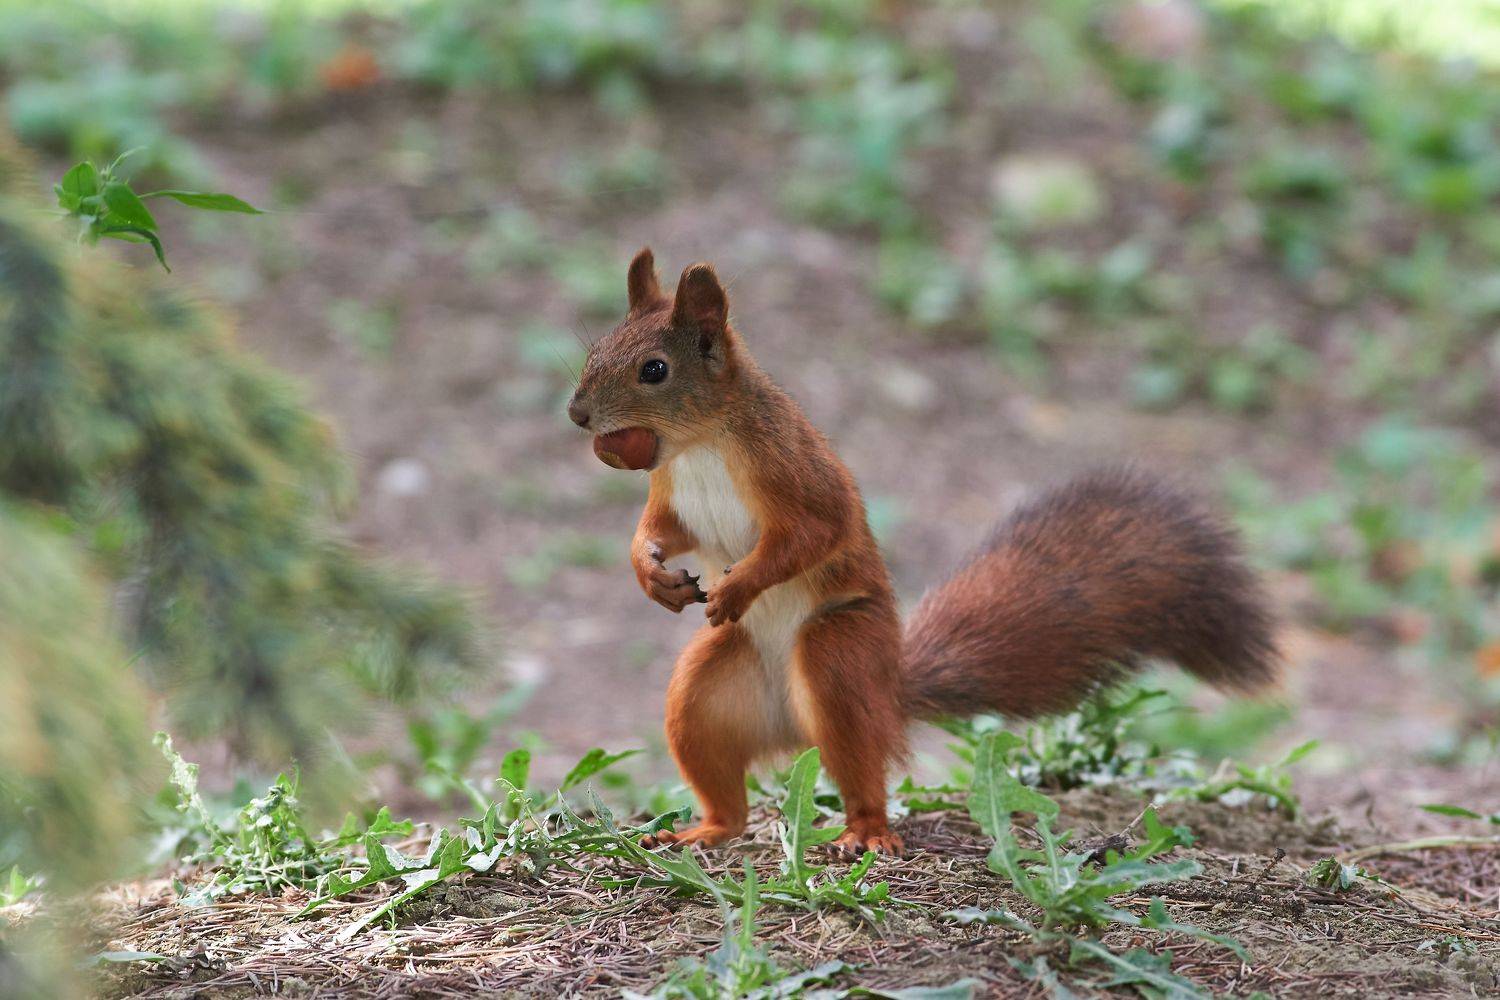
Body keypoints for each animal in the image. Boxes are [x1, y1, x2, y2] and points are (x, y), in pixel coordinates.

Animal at [566, 248, 1279, 857]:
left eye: (654, 369)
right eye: (595, 349)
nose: (577, 415)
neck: (698, 444)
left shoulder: (794, 473)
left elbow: (812, 534)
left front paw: (741, 585)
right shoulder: (671, 495)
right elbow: (658, 531)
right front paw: (650, 575)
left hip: (841, 655)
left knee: (860, 769)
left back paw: (867, 833)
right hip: (706, 693)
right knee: (729, 796)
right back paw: (704, 830)